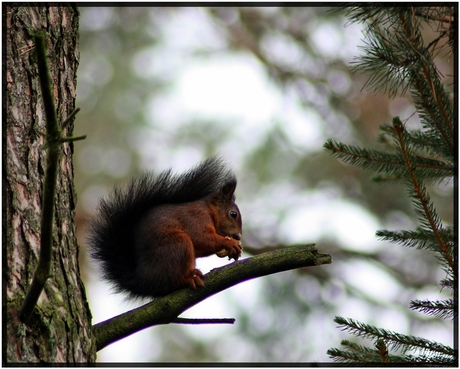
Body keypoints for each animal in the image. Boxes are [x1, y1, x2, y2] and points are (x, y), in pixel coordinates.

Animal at [87, 157, 244, 298]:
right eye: (233, 214)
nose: (238, 236)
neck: (209, 210)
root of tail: (143, 281)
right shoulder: (196, 217)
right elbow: (200, 237)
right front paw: (229, 243)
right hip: (177, 245)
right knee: (170, 283)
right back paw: (188, 279)